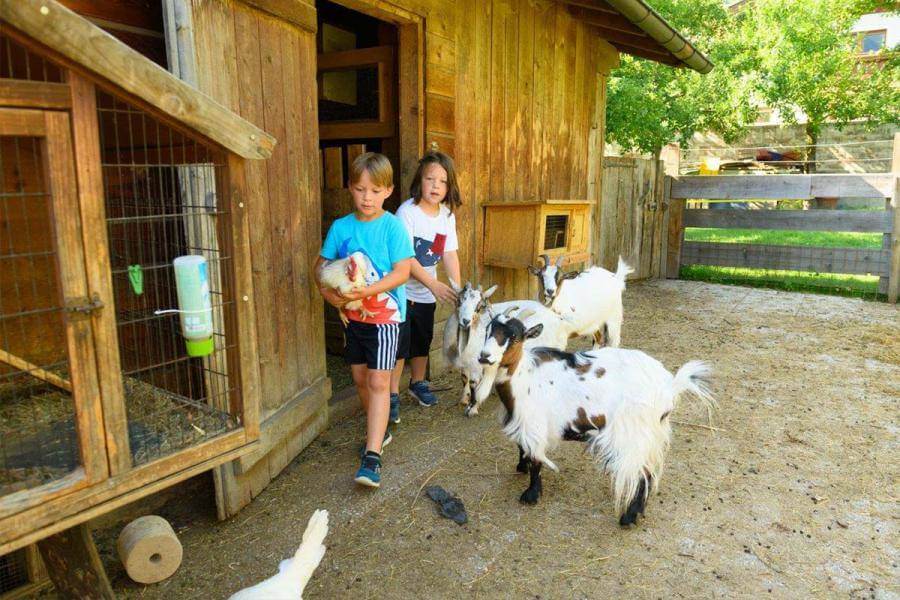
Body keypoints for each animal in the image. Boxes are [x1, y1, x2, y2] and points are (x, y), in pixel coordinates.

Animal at [477, 314, 714, 527]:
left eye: (514, 336)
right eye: (487, 331)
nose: (484, 356)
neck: (524, 377)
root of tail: (670, 387)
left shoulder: (534, 424)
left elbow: (536, 459)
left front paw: (531, 495)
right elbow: (523, 449)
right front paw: (521, 467)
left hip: (634, 434)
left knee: (642, 473)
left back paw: (628, 518)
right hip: (652, 434)